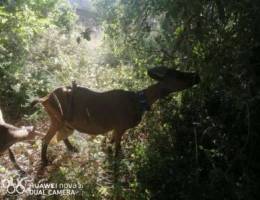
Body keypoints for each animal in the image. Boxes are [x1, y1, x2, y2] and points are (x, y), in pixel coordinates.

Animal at [32, 67, 199, 166]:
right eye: (178, 75)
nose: (196, 75)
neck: (137, 101)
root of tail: (44, 99)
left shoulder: (115, 128)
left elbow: (111, 143)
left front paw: (107, 151)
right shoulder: (120, 127)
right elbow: (118, 148)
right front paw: (117, 165)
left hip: (64, 122)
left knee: (62, 136)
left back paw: (72, 149)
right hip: (56, 118)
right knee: (45, 139)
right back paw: (45, 161)